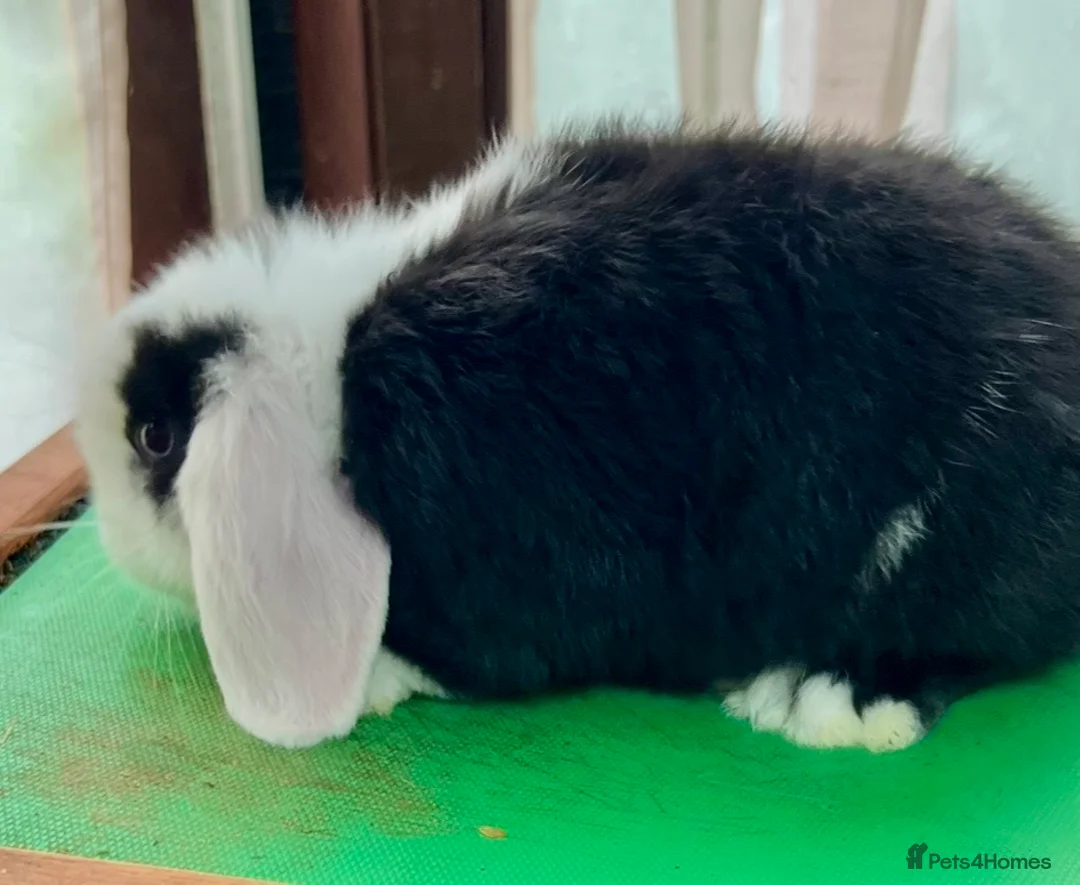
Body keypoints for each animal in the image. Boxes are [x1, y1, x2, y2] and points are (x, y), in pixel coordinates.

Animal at [74, 119, 1080, 753]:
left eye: (154, 435)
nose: (107, 532)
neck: (331, 370)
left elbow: (464, 657)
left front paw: (378, 679)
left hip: (947, 539)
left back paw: (825, 698)